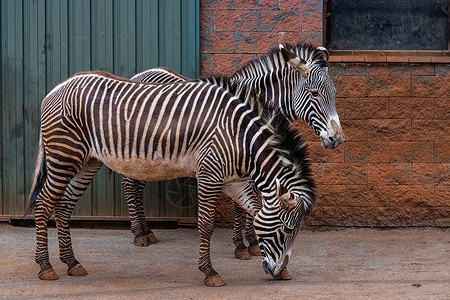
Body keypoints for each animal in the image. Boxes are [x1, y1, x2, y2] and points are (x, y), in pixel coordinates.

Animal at [24, 68, 316, 286]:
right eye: (287, 230)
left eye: (295, 232)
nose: (277, 272)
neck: (239, 136)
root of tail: (56, 88)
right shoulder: (209, 174)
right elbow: (206, 224)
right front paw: (210, 272)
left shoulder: (236, 182)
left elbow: (254, 210)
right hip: (64, 155)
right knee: (44, 204)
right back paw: (45, 266)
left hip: (87, 161)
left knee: (63, 207)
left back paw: (71, 262)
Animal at [122, 41, 342, 258]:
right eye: (315, 93)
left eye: (334, 93)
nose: (337, 138)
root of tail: (139, 74)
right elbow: (240, 205)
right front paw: (242, 244)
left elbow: (254, 201)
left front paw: (253, 241)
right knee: (128, 184)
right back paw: (138, 233)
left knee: (137, 185)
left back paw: (147, 230)